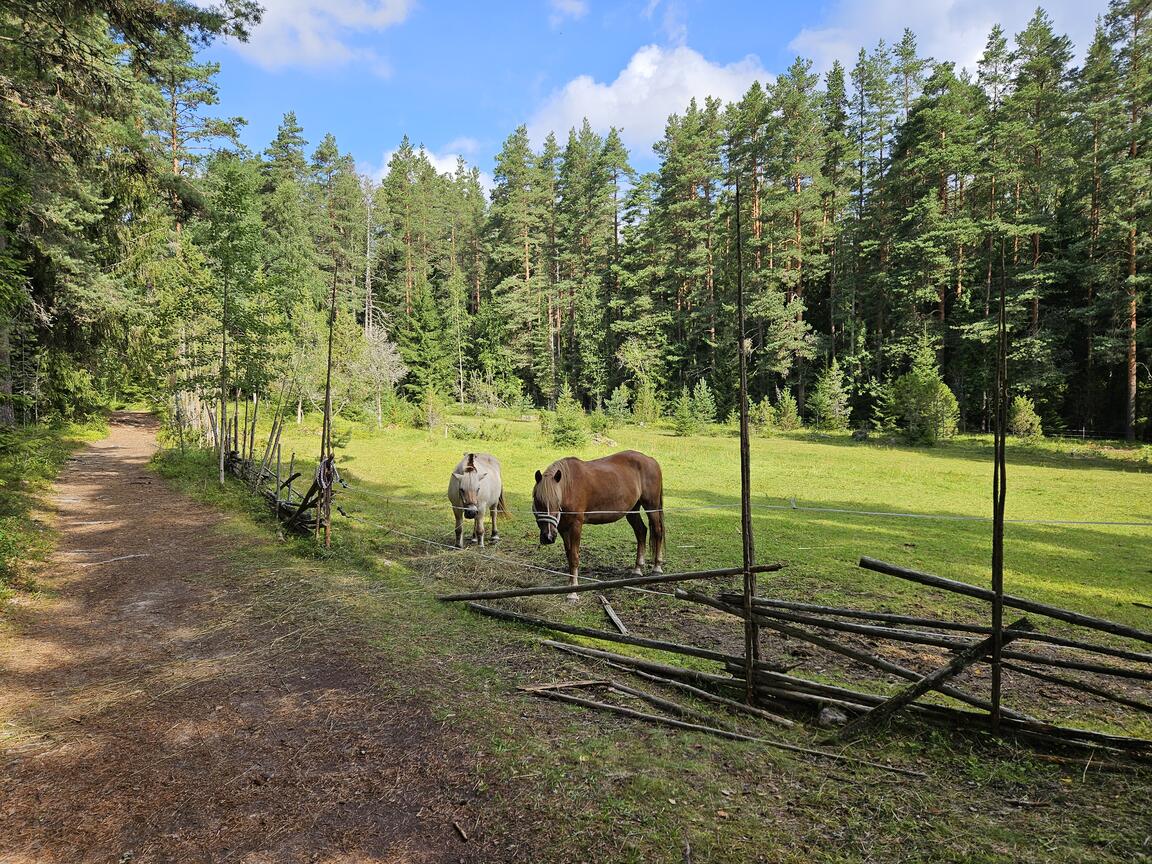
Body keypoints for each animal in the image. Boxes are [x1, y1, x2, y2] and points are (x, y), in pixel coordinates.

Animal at [532, 449, 668, 599]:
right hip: (632, 510)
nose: (548, 537)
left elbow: (574, 557)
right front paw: (569, 585)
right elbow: (568, 555)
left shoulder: (576, 525)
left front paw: (573, 592)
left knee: (657, 531)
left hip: (652, 507)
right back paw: (637, 569)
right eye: (537, 501)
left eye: (556, 501)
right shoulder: (562, 528)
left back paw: (657, 567)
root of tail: (651, 460)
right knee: (641, 532)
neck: (569, 486)